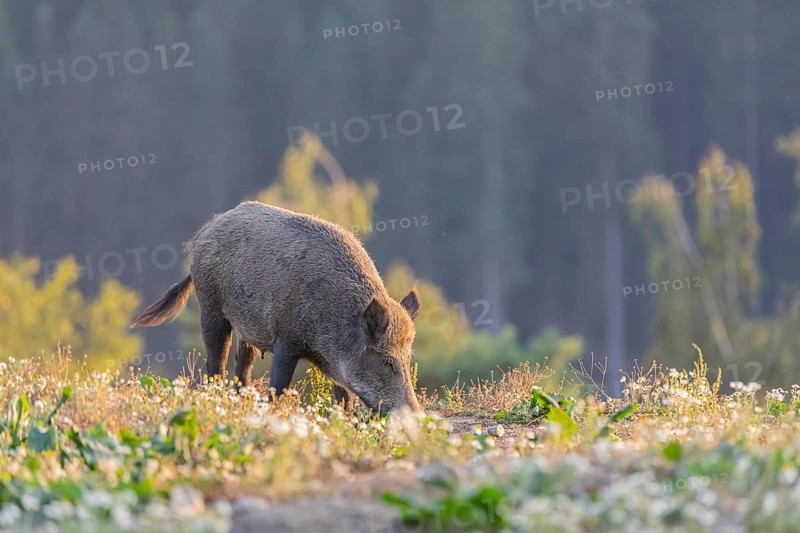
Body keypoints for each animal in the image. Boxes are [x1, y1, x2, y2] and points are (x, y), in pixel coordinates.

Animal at [130, 201, 422, 414]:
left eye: (408, 359)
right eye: (386, 361)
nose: (416, 414)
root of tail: (206, 229)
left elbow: (344, 398)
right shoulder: (287, 339)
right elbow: (279, 388)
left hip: (246, 328)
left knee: (242, 367)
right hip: (211, 307)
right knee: (216, 363)